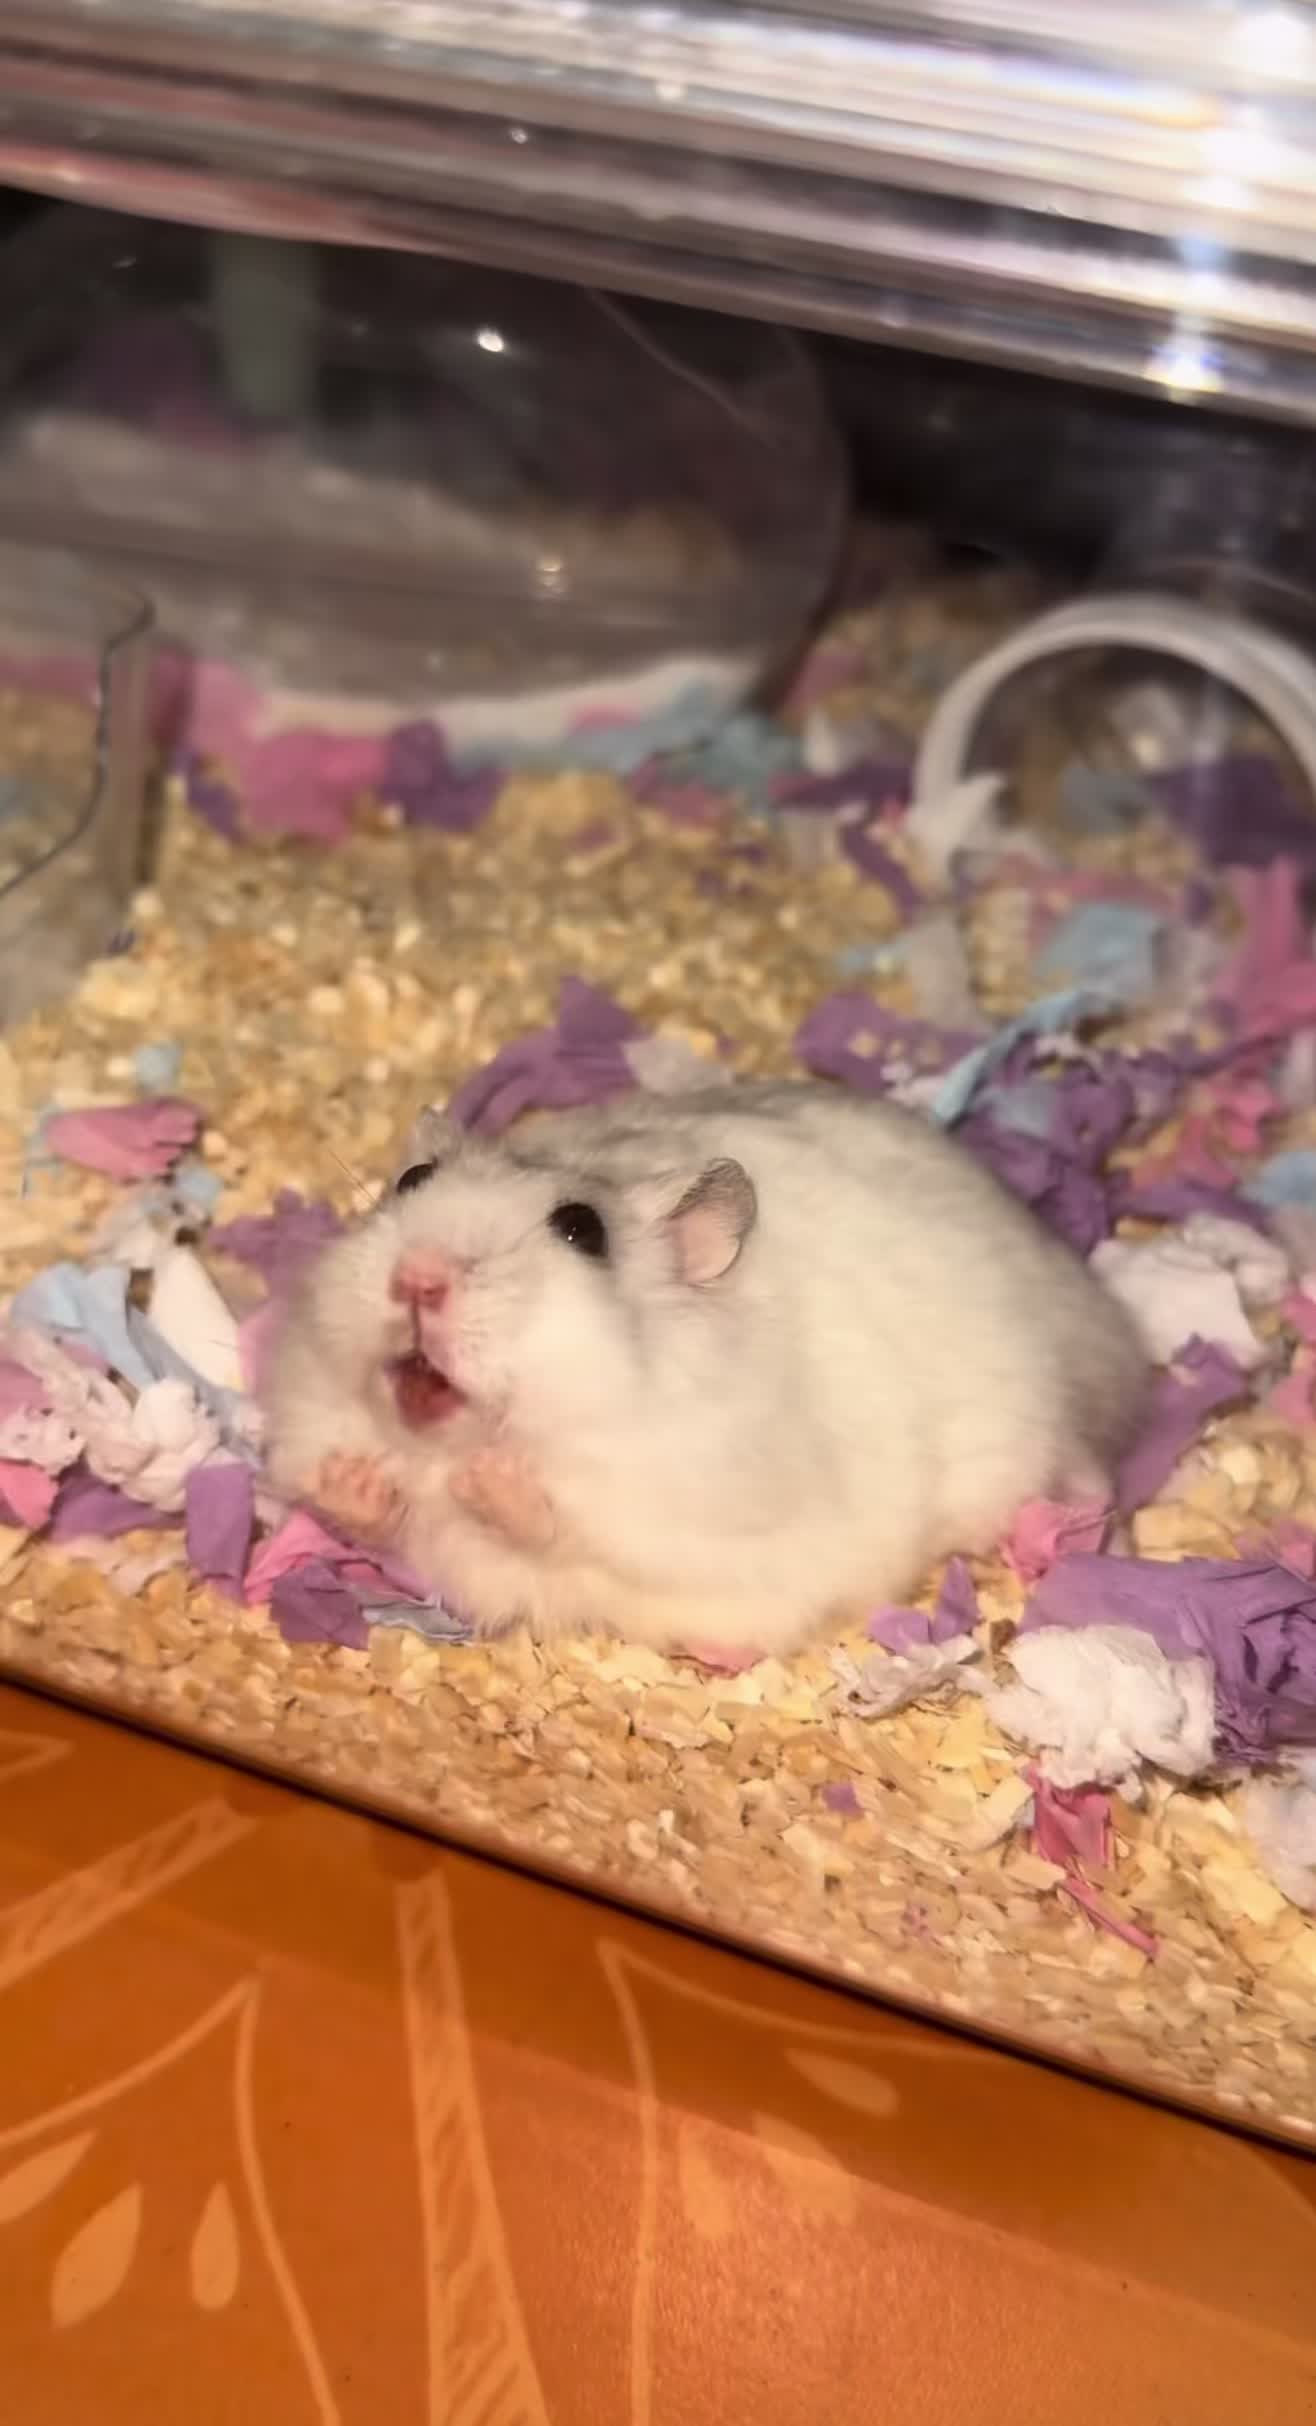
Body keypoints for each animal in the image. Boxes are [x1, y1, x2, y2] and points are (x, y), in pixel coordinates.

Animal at [262, 1081, 1148, 1656]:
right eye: (413, 1180)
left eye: (583, 1230)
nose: (418, 1278)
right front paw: (354, 1476)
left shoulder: (682, 1512)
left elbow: (570, 1524)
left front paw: (494, 1482)